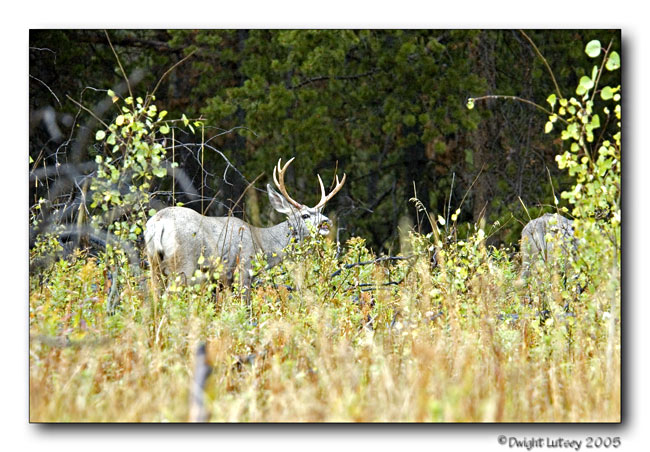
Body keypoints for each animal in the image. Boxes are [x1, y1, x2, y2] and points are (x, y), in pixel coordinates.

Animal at [144, 157, 346, 293]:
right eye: (305, 215)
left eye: (320, 212)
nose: (326, 222)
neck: (262, 244)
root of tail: (158, 222)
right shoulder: (244, 269)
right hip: (183, 263)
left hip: (154, 263)